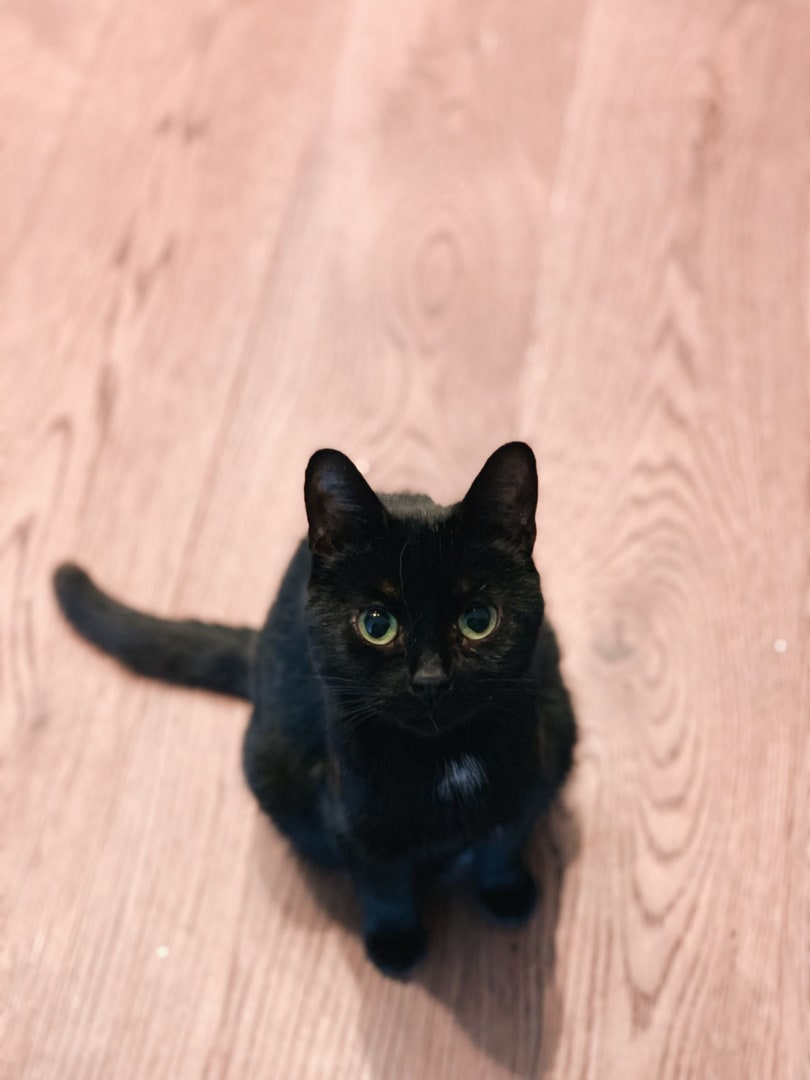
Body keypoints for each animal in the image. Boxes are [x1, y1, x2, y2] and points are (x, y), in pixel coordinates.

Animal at [54, 441, 577, 978]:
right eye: (376, 624)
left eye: (478, 620)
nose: (430, 679)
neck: (445, 761)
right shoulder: (350, 814)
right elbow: (381, 882)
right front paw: (395, 943)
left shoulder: (535, 766)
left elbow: (502, 843)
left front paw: (507, 893)